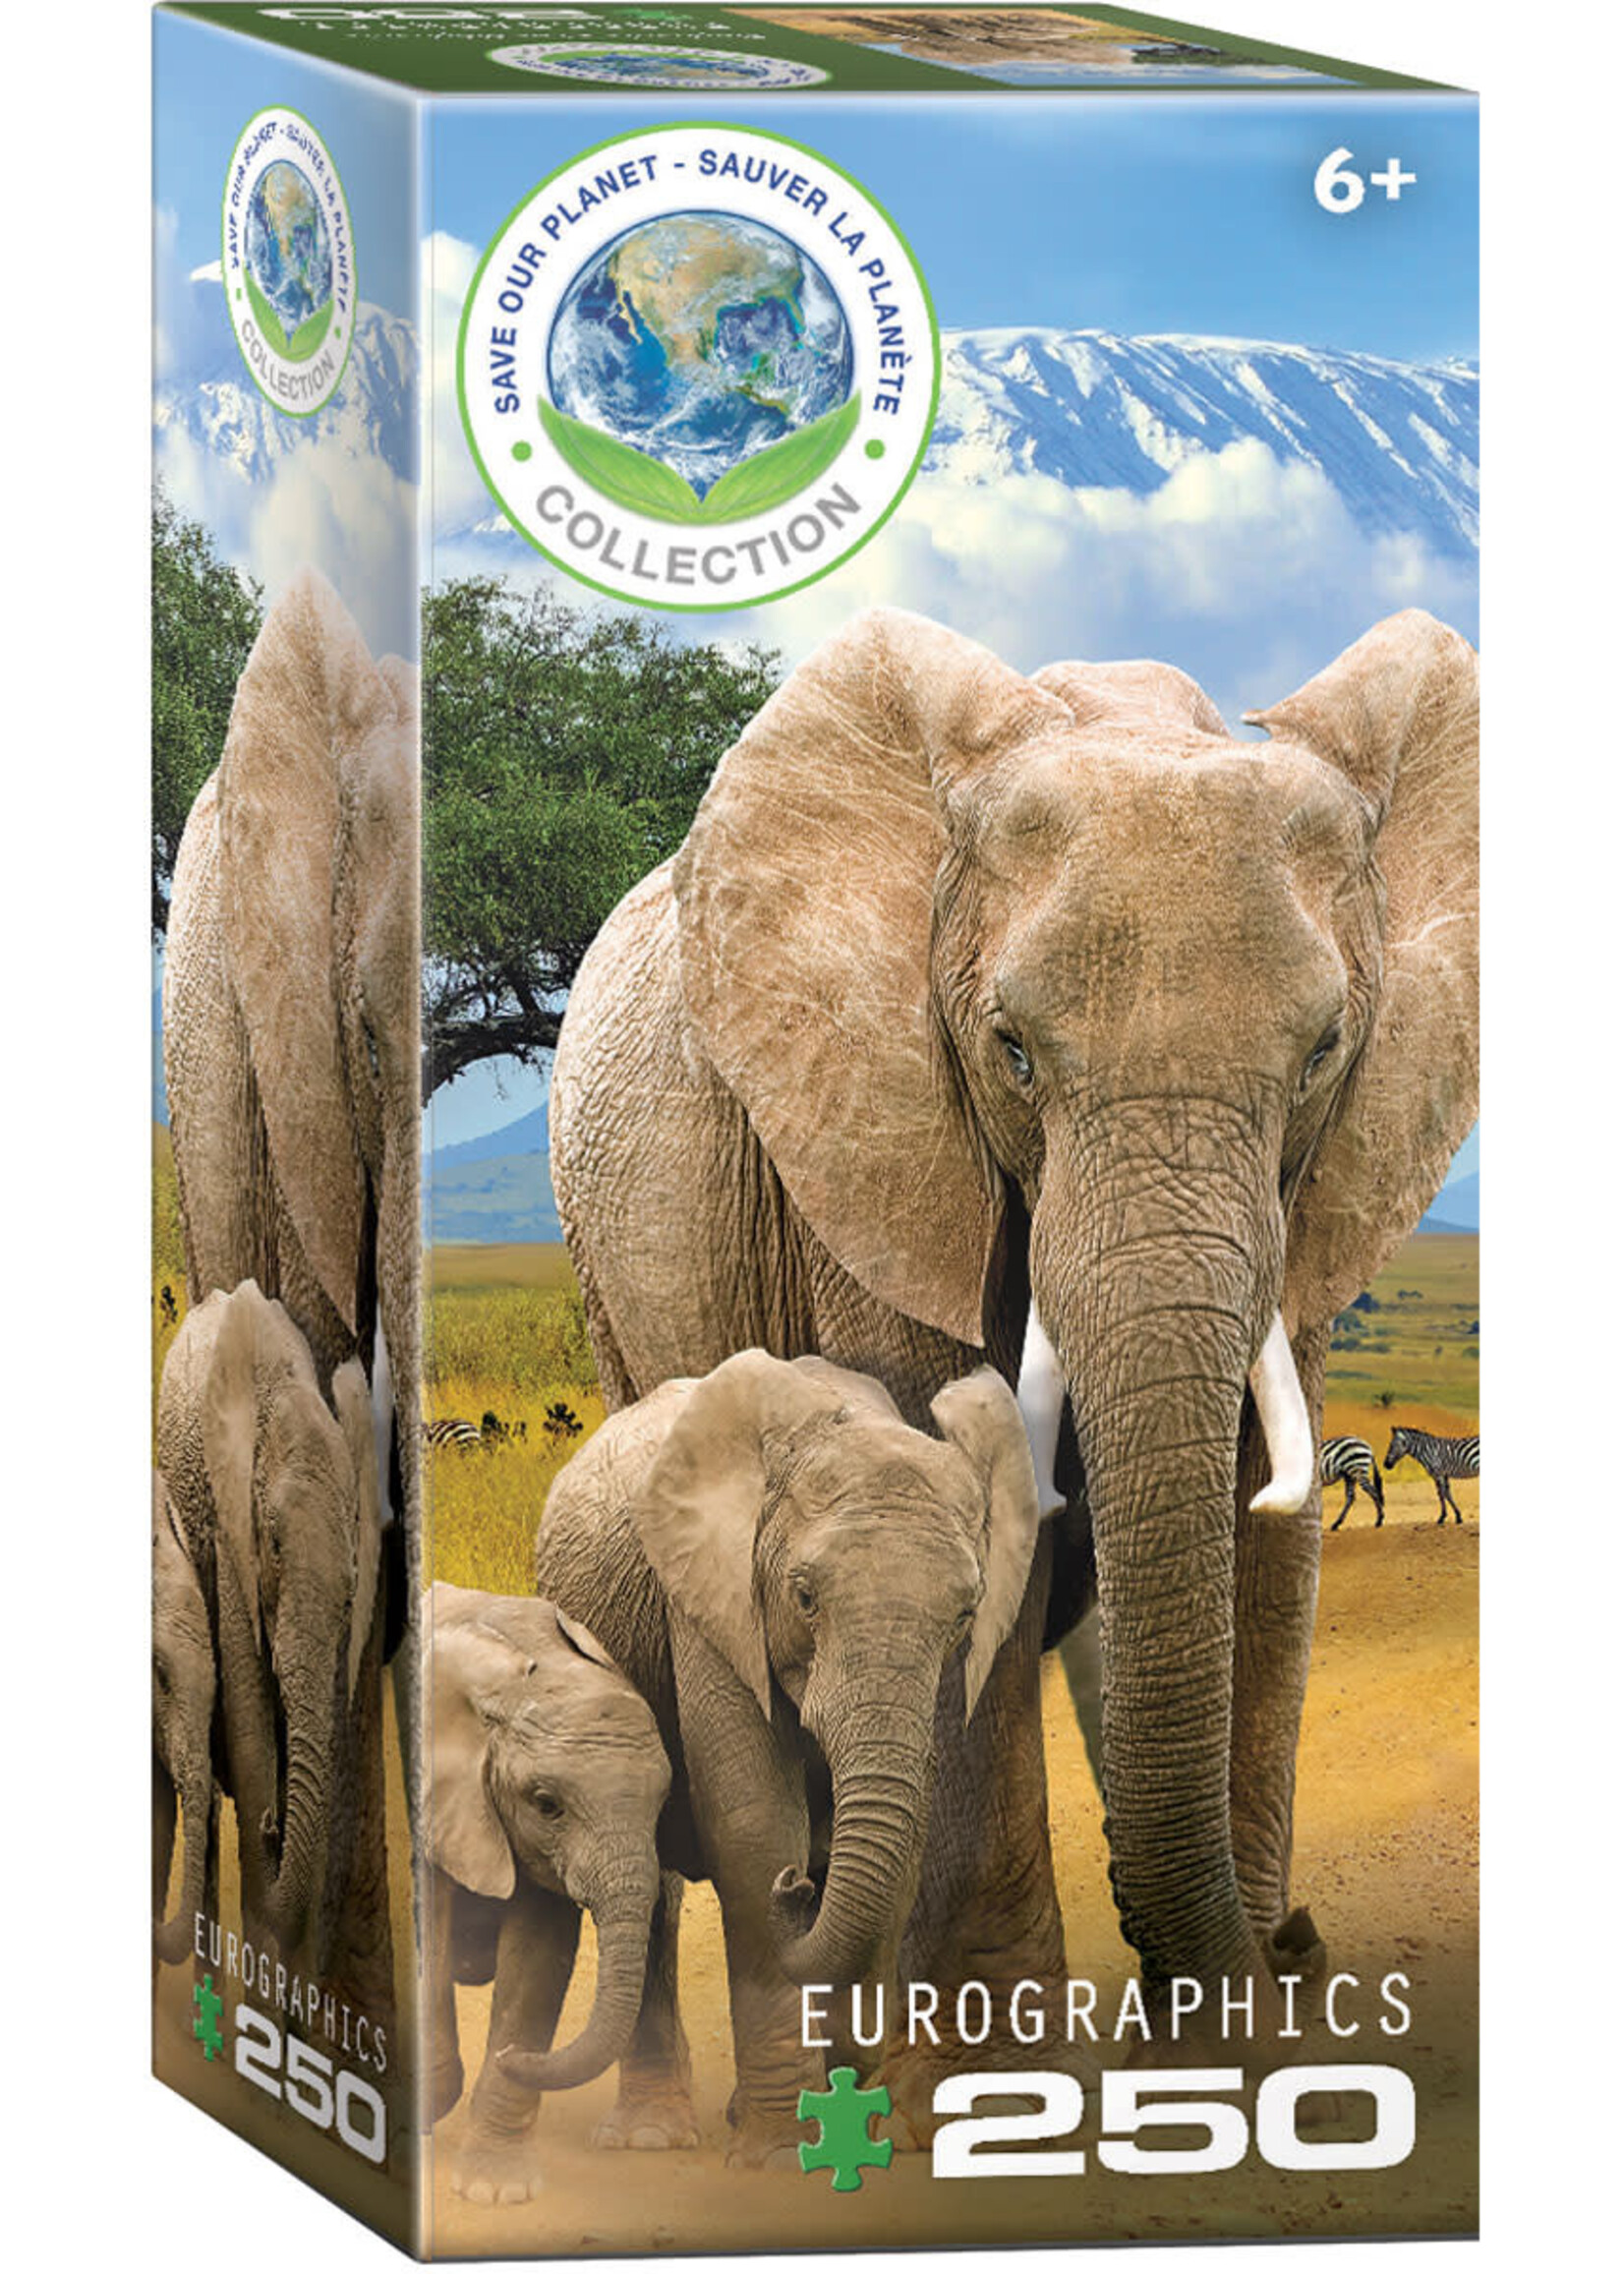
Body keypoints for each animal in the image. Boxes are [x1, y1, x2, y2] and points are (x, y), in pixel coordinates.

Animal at [528, 1348, 1042, 2163]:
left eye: (965, 1612)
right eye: (804, 1597)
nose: (798, 1887)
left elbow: (904, 1842)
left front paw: (848, 2128)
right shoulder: (708, 1596)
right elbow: (754, 1823)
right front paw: (776, 2152)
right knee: (650, 1890)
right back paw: (651, 2135)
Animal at [549, 603, 1478, 2105]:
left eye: (1326, 1049)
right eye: (1012, 1052)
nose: (1294, 1943)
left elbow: (1262, 1534)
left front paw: (1230, 2068)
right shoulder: (875, 1139)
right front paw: (983, 2064)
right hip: (612, 1274)